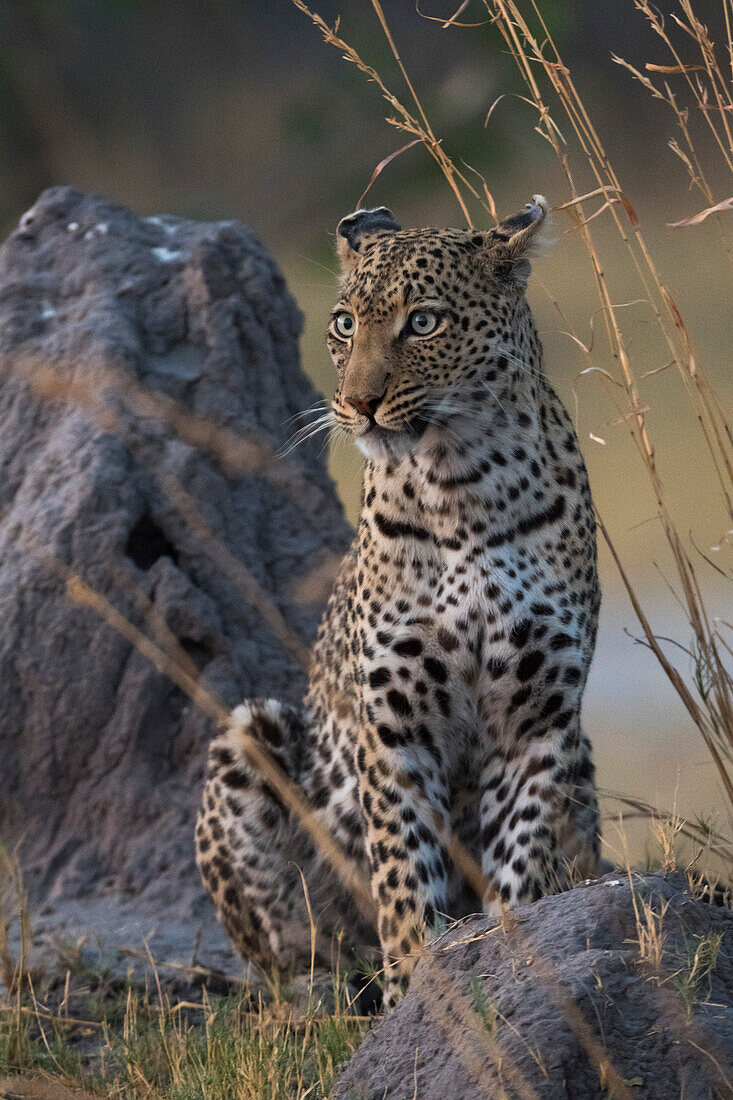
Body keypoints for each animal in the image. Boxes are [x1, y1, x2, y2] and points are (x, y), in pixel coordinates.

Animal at [193, 195, 598, 1007]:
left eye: (424, 322)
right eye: (344, 323)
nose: (359, 403)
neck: (462, 486)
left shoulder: (540, 720)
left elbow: (522, 851)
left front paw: (514, 953)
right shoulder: (394, 727)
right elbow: (404, 867)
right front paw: (418, 979)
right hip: (248, 735)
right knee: (290, 954)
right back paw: (323, 995)